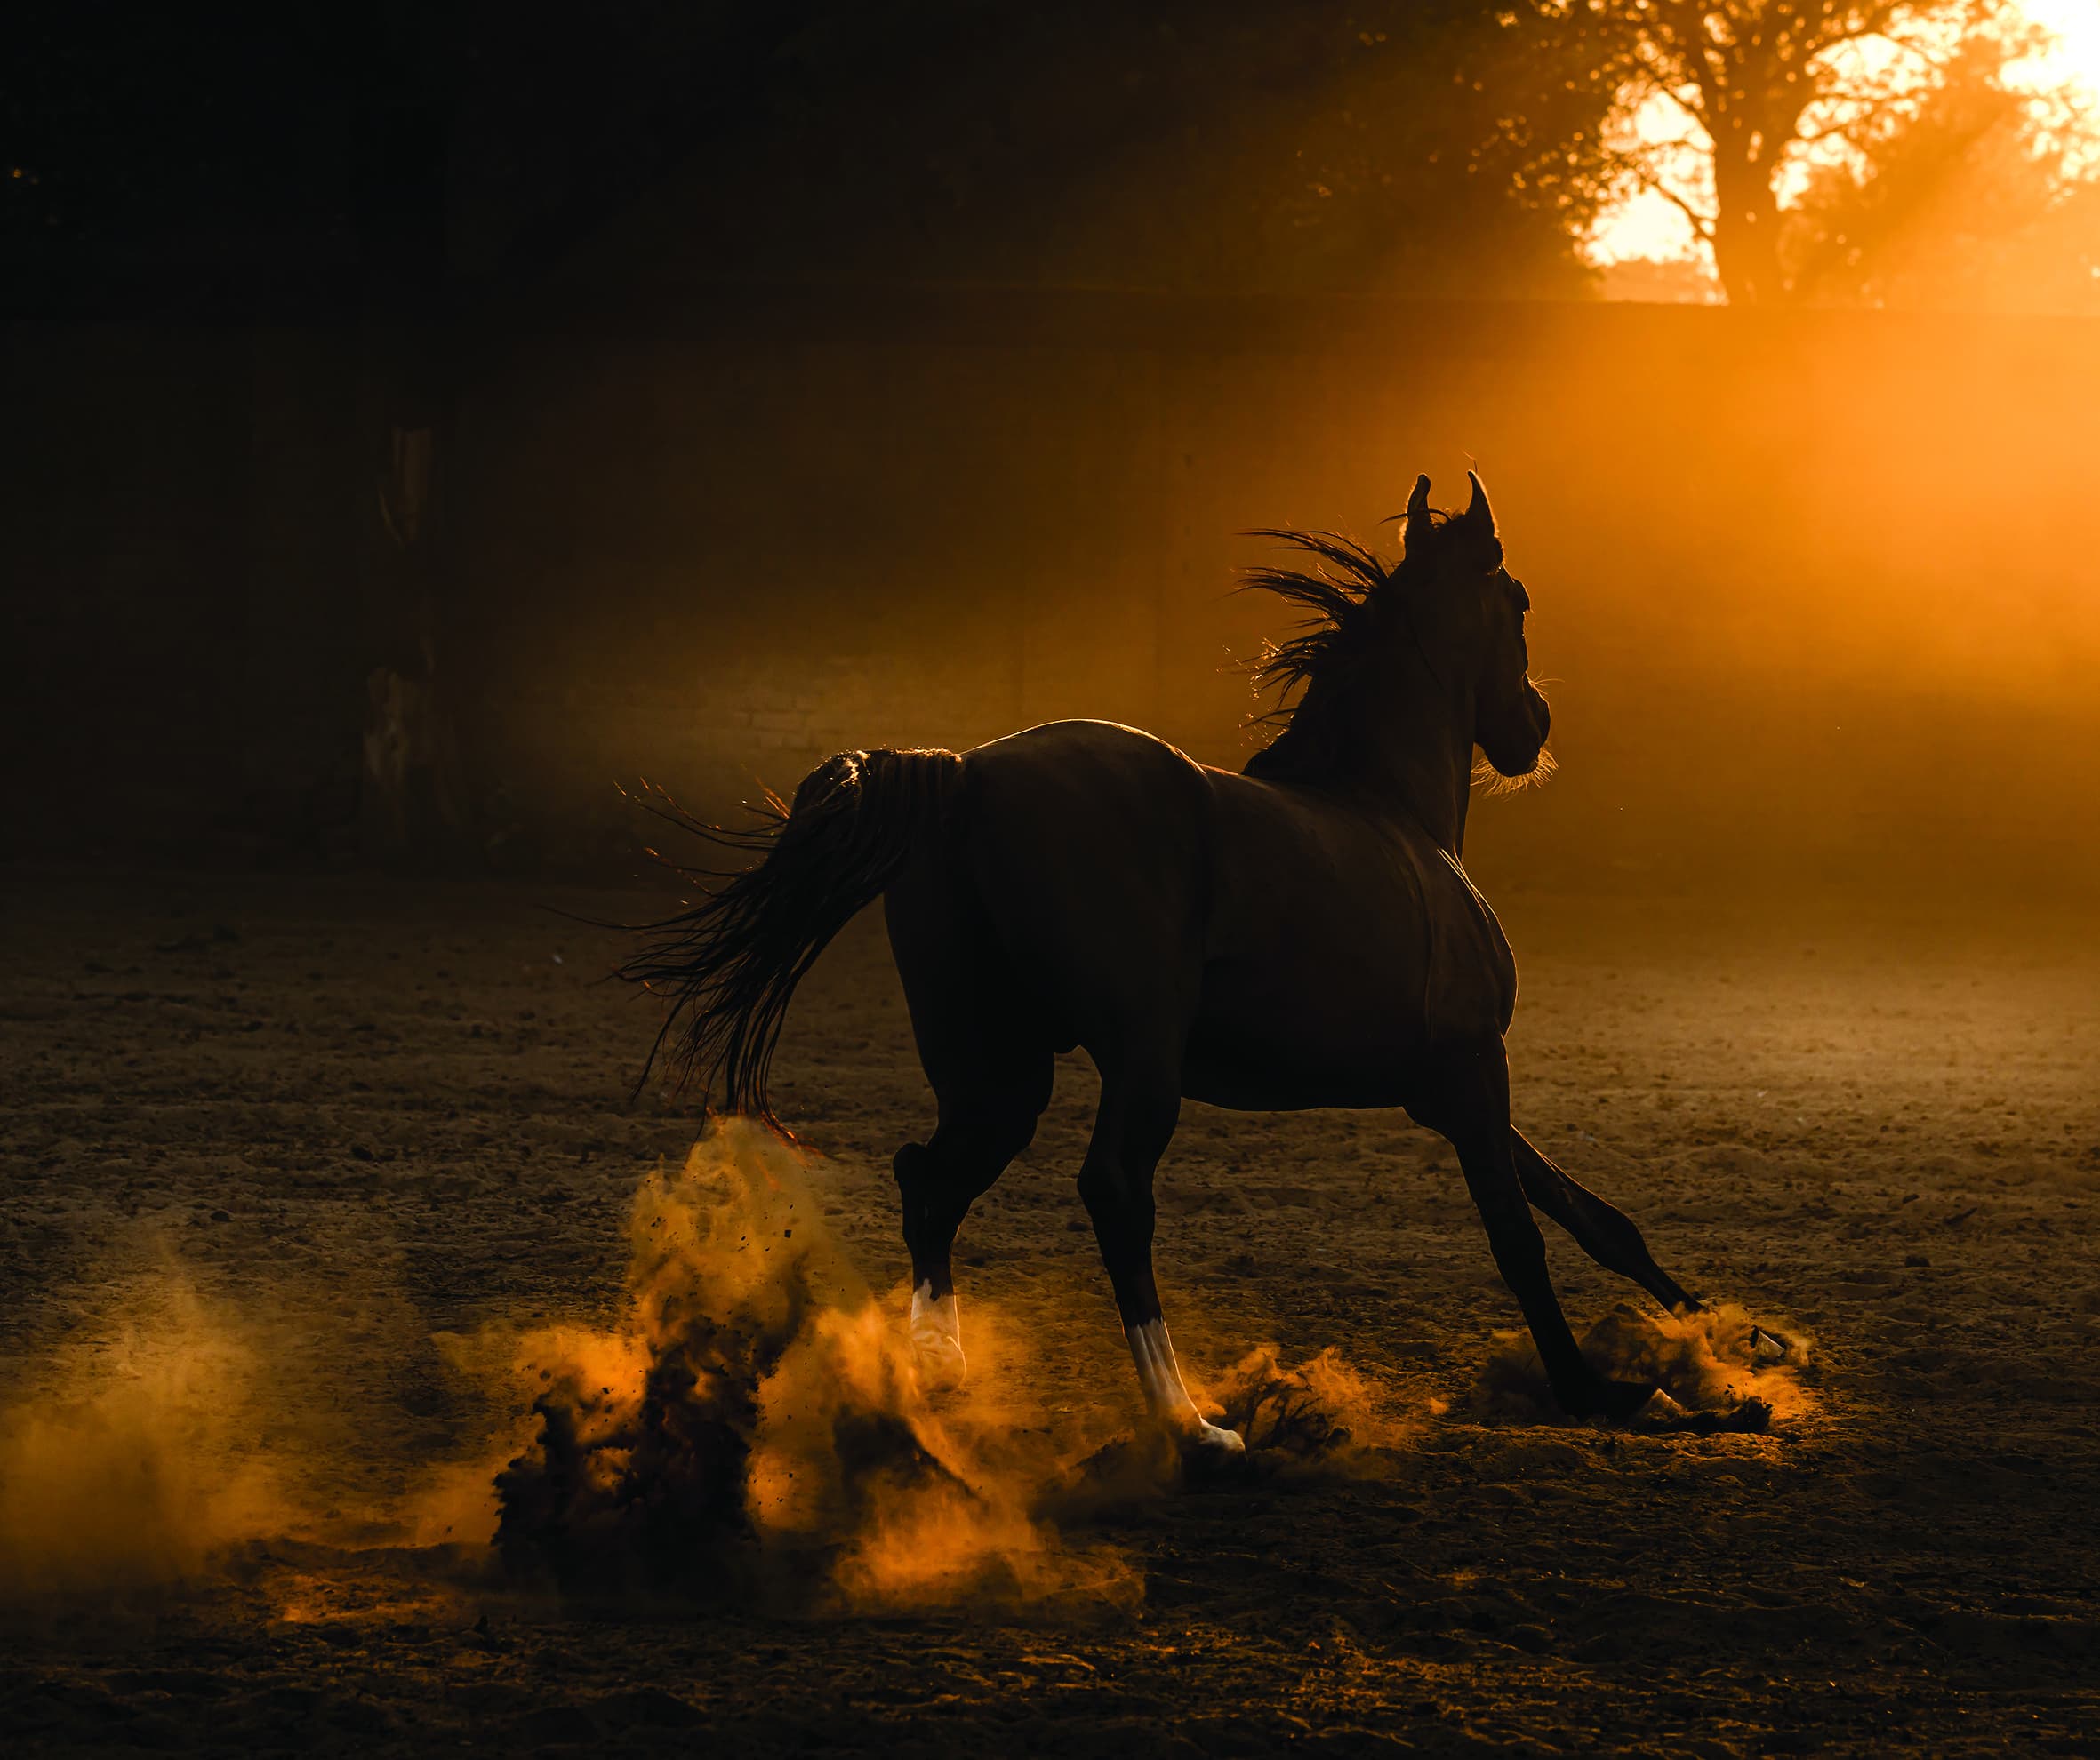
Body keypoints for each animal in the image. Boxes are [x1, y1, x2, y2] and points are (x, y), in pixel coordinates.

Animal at [622, 472, 1702, 1463]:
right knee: (1111, 1191)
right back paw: (1190, 1423)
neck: (1396, 815)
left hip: (996, 1068)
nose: (1531, 728)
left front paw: (1701, 1333)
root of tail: (968, 775)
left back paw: (937, 1379)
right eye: (1515, 599)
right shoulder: (1474, 1068)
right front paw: (1600, 1391)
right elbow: (1519, 1230)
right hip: (1136, 1056)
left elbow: (1587, 1210)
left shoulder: (1435, 1086)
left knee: (929, 1177)